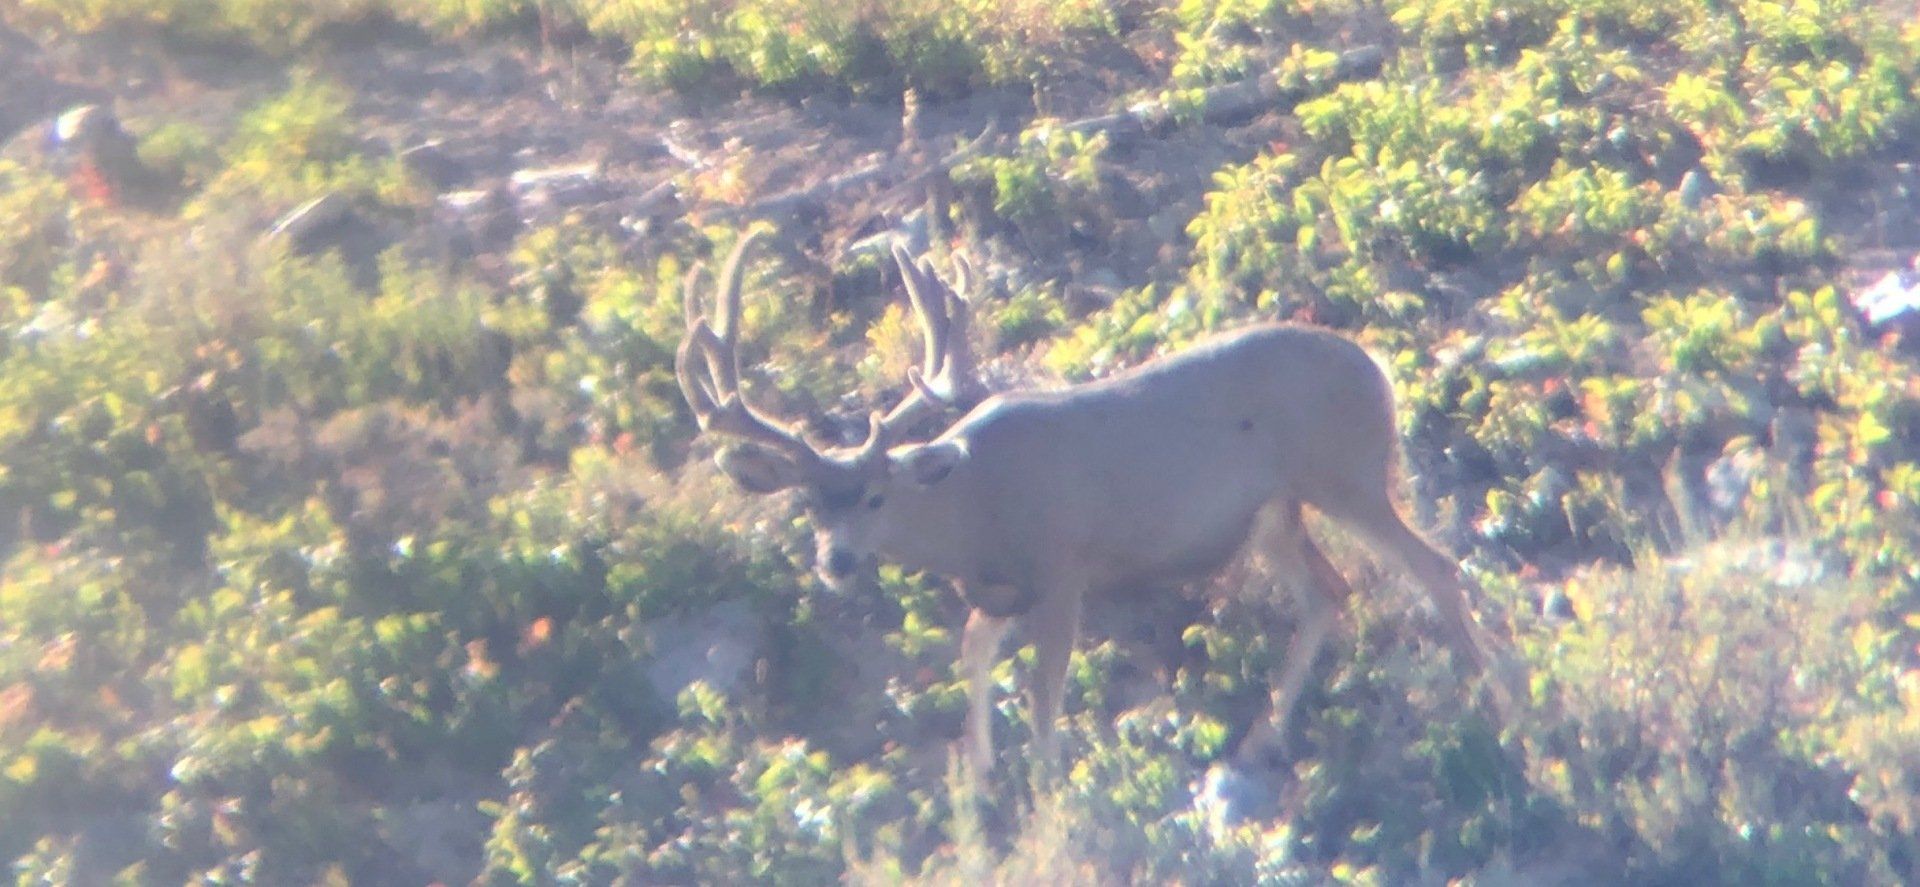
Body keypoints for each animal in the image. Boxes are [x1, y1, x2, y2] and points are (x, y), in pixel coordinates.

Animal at [675, 229, 1514, 782]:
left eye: (877, 495)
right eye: (810, 504)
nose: (838, 560)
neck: (973, 508)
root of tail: (1381, 370)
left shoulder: (1063, 564)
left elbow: (1046, 696)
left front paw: (1049, 792)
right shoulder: (1002, 586)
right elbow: (973, 649)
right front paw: (979, 777)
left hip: (1346, 472)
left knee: (1434, 565)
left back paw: (1501, 703)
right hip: (1274, 512)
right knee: (1328, 592)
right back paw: (1262, 737)